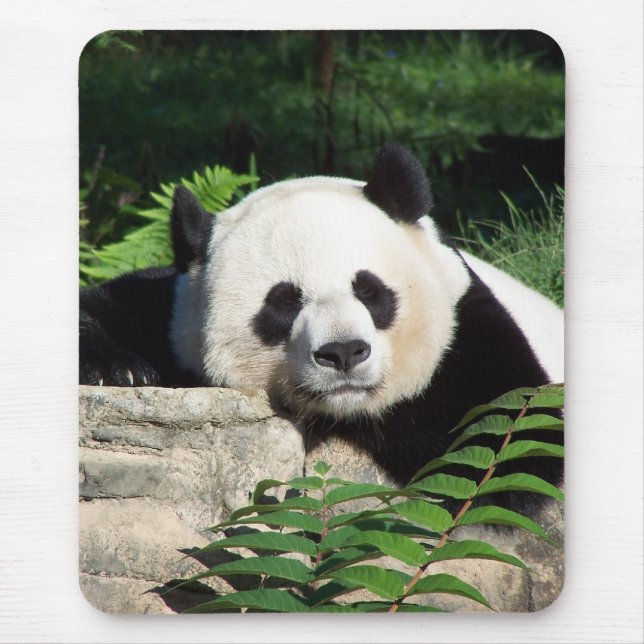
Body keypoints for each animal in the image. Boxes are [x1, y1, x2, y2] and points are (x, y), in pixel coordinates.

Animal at [80, 144, 563, 510]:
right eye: (284, 302)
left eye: (369, 290)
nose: (344, 352)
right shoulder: (171, 314)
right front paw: (118, 369)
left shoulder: (468, 327)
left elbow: (506, 446)